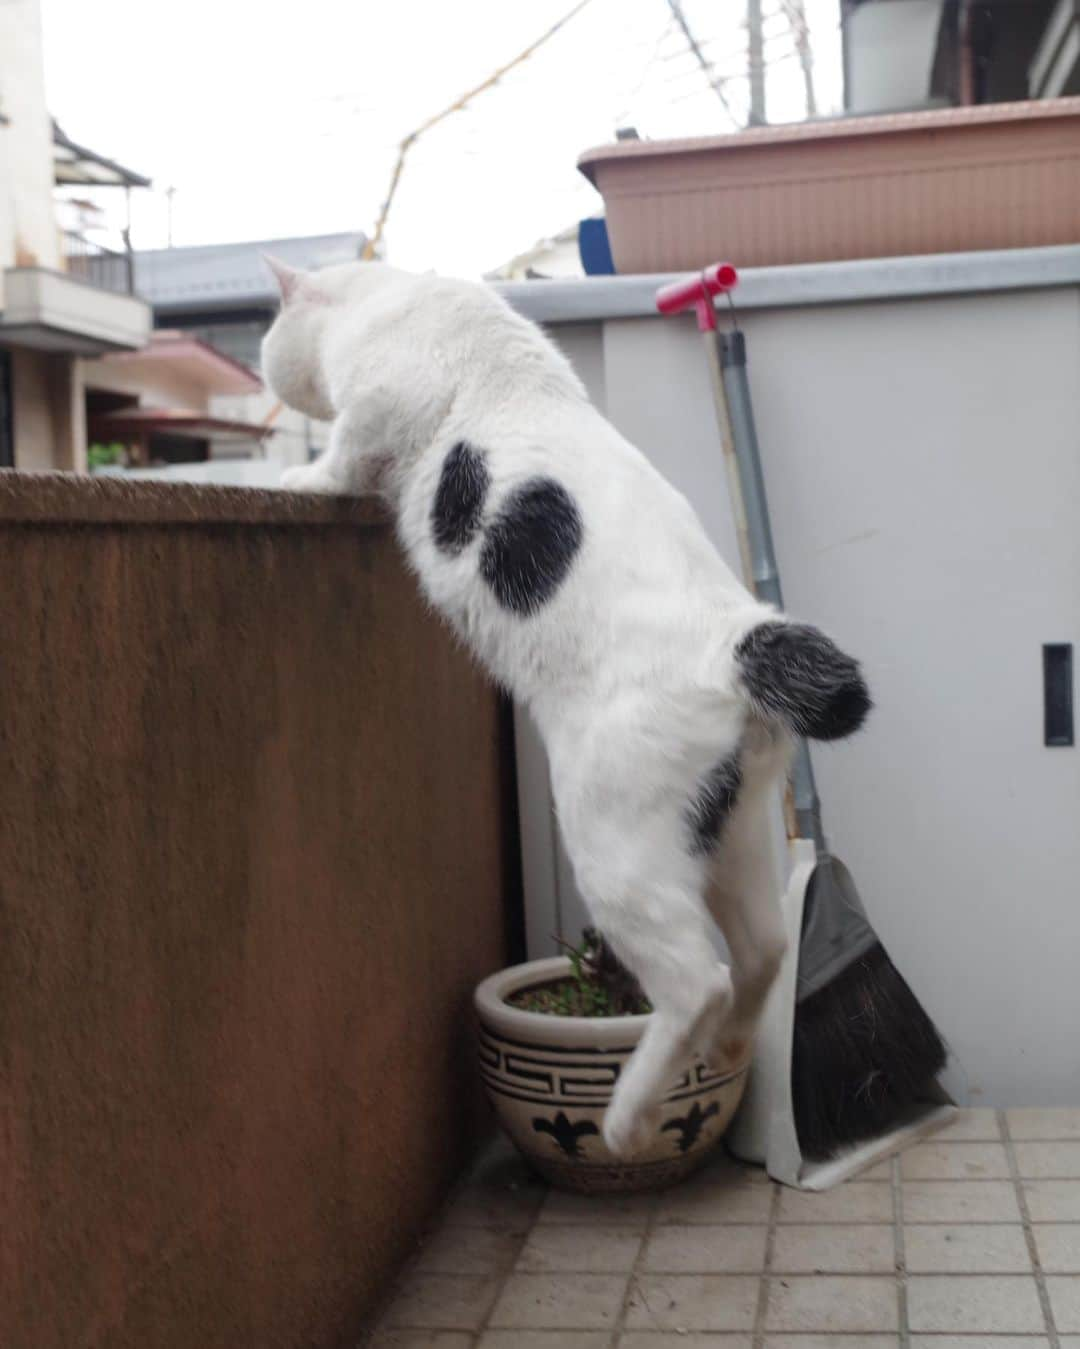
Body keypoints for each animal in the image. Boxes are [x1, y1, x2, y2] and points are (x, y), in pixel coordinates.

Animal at [262, 254, 868, 1160]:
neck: (392, 293)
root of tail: (741, 642)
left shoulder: (374, 408)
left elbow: (340, 460)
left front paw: (294, 473)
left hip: (611, 844)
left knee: (699, 979)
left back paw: (628, 1116)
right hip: (728, 832)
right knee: (763, 948)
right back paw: (727, 1048)